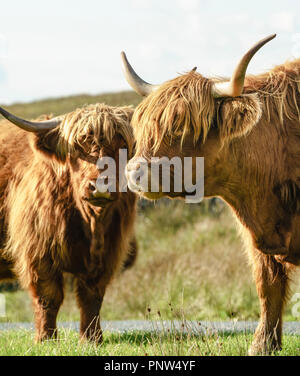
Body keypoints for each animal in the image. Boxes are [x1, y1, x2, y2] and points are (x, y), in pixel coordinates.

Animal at [0, 103, 138, 344]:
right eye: (78, 147)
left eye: (123, 146)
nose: (100, 186)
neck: (91, 223)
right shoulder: (39, 250)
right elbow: (48, 296)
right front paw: (46, 338)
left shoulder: (108, 253)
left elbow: (91, 297)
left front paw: (92, 339)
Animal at [121, 35, 300, 356]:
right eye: (143, 126)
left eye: (181, 127)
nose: (134, 172)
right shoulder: (258, 242)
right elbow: (268, 287)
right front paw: (263, 345)